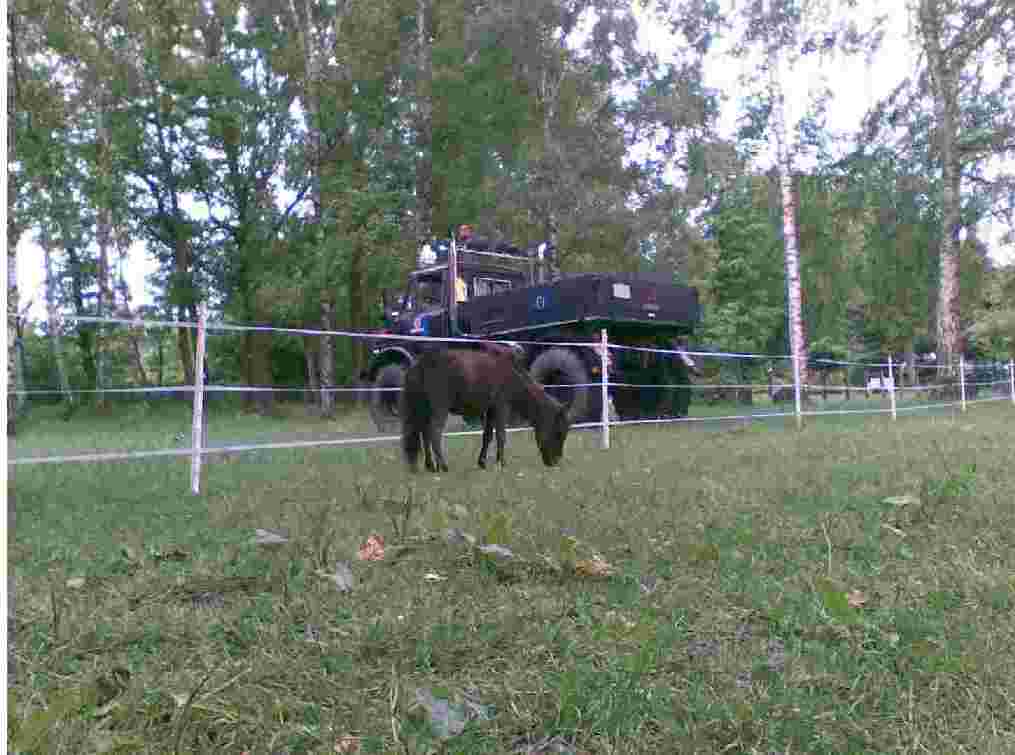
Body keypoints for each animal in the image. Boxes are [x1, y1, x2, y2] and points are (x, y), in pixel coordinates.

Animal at [400, 347, 572, 473]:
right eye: (558, 432)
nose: (555, 462)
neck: (513, 374)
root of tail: (420, 364)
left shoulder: (490, 411)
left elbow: (487, 436)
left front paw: (482, 462)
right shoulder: (501, 407)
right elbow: (501, 435)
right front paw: (501, 463)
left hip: (424, 409)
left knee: (424, 434)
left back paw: (430, 466)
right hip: (439, 409)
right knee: (434, 433)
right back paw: (443, 465)